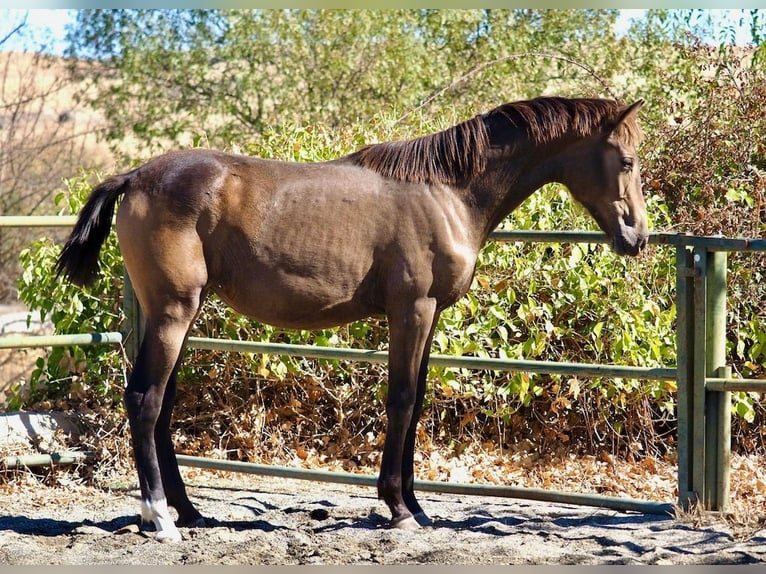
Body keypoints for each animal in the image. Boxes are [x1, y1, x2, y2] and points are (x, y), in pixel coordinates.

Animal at [57, 97, 652, 544]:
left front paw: (416, 506)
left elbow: (416, 404)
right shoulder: (411, 310)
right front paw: (400, 508)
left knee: (161, 406)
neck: (446, 191)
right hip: (174, 312)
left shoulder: (428, 316)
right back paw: (159, 517)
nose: (637, 237)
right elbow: (402, 400)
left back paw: (187, 510)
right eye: (625, 161)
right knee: (145, 400)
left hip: (179, 313)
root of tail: (136, 175)